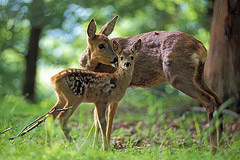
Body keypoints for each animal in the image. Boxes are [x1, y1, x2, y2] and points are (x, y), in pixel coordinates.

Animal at [79, 15, 224, 151]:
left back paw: (213, 148)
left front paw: (104, 146)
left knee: (209, 100)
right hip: (198, 76)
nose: (116, 60)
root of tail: (201, 47)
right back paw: (221, 145)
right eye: (101, 45)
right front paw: (89, 146)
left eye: (109, 43)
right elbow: (97, 117)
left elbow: (105, 116)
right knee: (218, 99)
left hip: (178, 75)